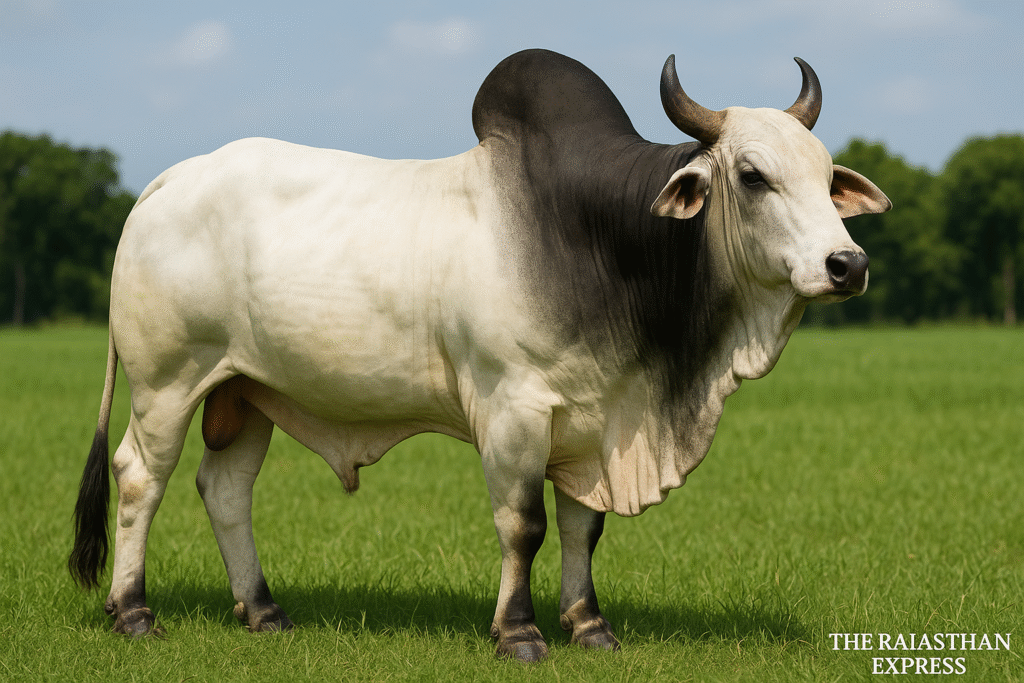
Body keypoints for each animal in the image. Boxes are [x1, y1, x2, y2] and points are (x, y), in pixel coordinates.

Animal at [69, 49, 890, 662]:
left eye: (828, 177)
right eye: (752, 176)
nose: (846, 264)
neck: (606, 243)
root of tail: (166, 181)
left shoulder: (590, 420)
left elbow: (583, 527)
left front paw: (589, 626)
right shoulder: (512, 409)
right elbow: (522, 523)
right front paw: (519, 633)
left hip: (243, 390)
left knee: (225, 487)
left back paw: (263, 609)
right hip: (167, 383)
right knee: (140, 477)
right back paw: (132, 612)